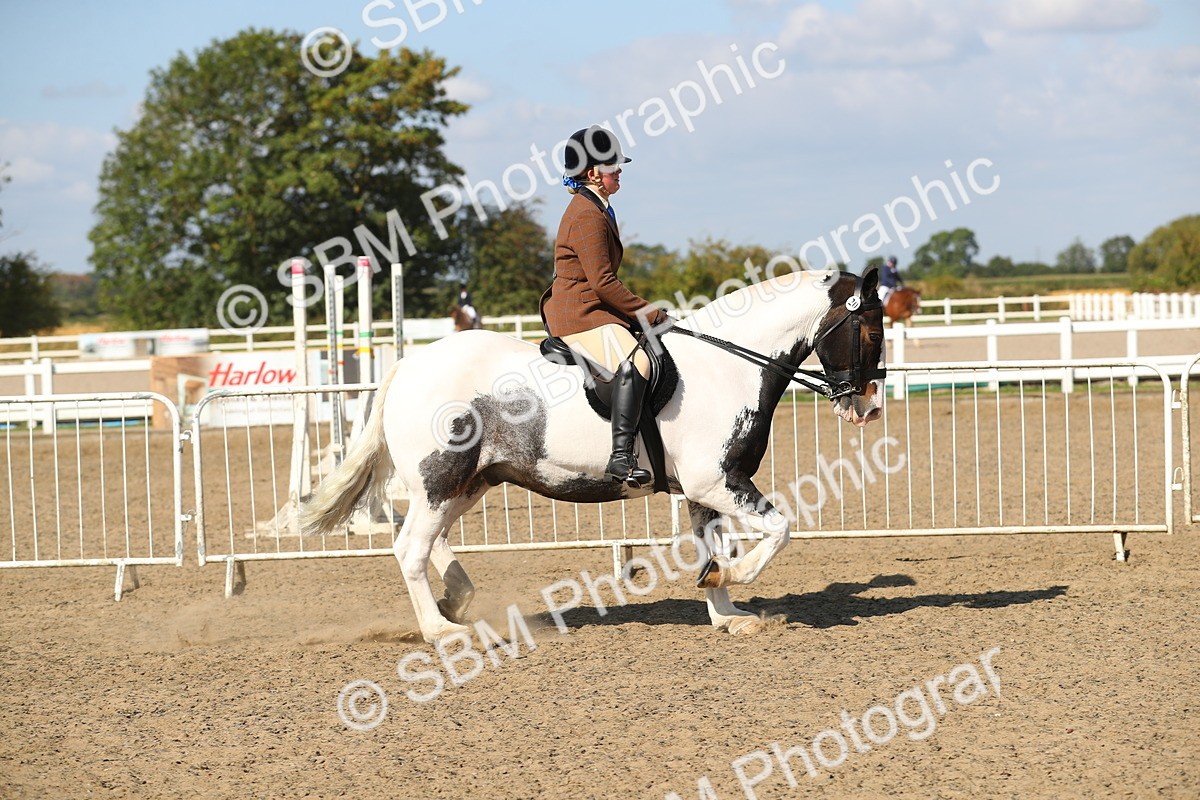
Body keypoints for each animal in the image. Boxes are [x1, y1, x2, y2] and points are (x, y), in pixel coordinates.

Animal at [303, 268, 887, 643]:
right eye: (870, 330)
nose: (868, 408)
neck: (729, 365)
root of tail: (408, 365)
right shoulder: (716, 482)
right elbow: (780, 529)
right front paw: (735, 578)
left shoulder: (709, 489)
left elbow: (711, 547)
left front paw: (725, 609)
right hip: (440, 479)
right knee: (410, 548)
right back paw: (441, 629)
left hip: (468, 483)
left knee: (431, 541)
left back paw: (457, 599)